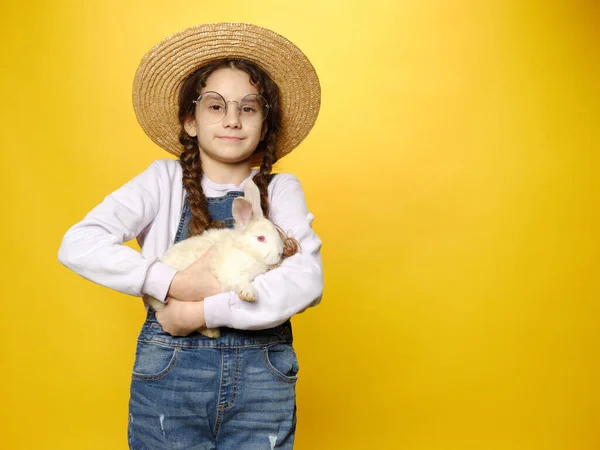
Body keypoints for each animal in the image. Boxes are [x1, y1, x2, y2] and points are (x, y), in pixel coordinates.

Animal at [145, 179, 296, 338]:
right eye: (261, 238)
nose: (280, 252)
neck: (244, 249)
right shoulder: (230, 272)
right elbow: (240, 282)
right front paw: (249, 295)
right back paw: (212, 333)